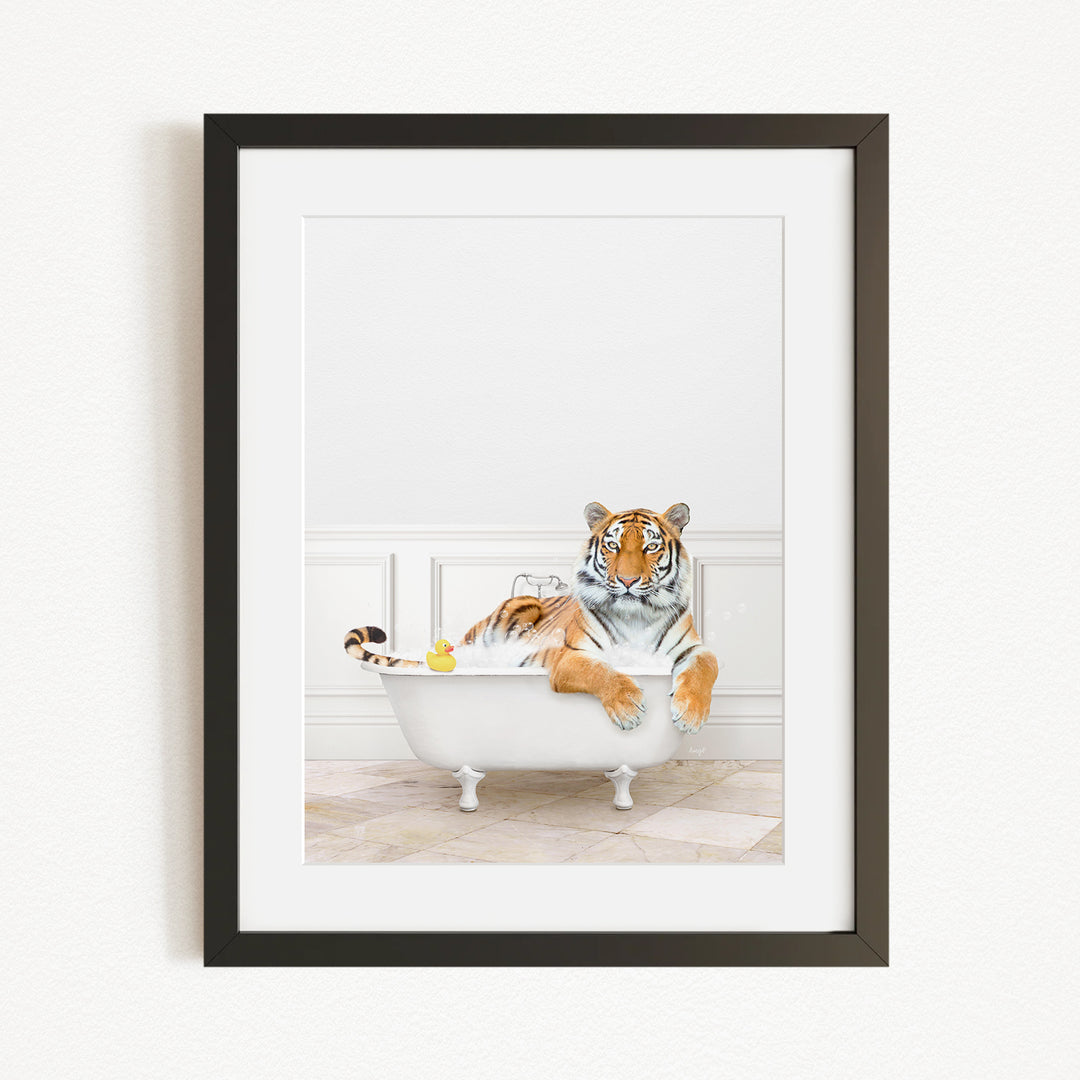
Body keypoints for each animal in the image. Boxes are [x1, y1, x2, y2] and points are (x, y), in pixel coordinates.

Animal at [344, 502, 719, 733]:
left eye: (650, 547)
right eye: (613, 546)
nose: (627, 581)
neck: (635, 616)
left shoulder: (692, 650)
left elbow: (706, 666)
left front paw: (690, 714)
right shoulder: (569, 657)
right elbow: (600, 671)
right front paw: (627, 706)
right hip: (517, 607)